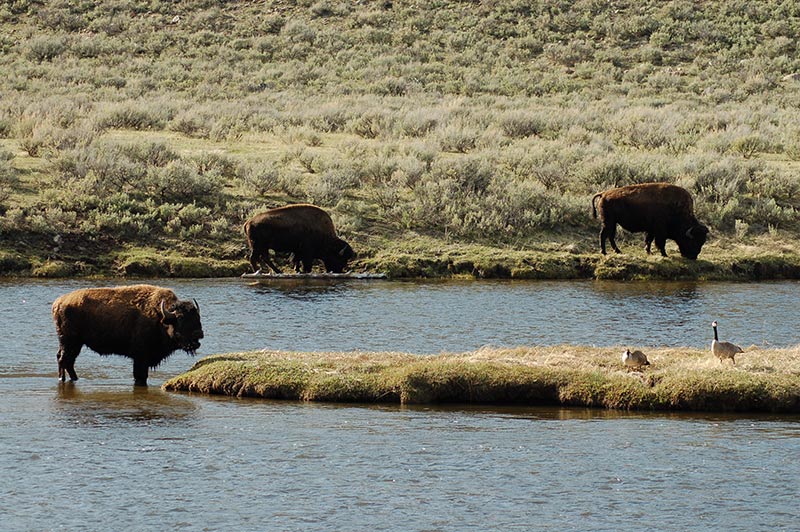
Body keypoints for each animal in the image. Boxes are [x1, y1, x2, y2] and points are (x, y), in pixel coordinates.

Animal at [51, 284, 203, 384]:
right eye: (181, 318)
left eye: (197, 317)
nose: (199, 334)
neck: (160, 317)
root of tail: (58, 303)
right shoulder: (140, 357)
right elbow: (140, 376)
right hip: (71, 342)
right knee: (64, 360)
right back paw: (67, 379)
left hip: (72, 343)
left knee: (64, 359)